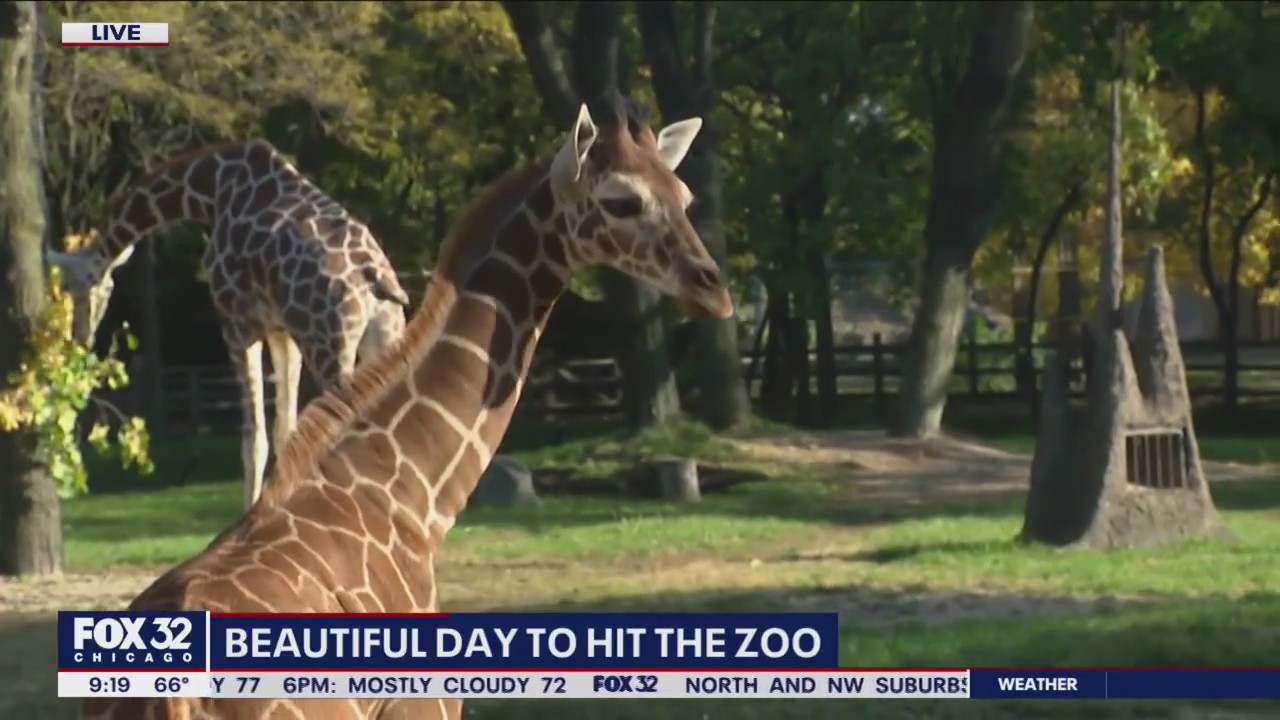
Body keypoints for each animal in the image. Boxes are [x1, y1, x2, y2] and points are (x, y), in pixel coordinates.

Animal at [47, 140, 411, 508]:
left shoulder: (237, 322)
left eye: (79, 286)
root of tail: (376, 278)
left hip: (329, 345)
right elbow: (285, 431)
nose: (81, 336)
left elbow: (255, 440)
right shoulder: (281, 328)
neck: (211, 190)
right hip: (385, 334)